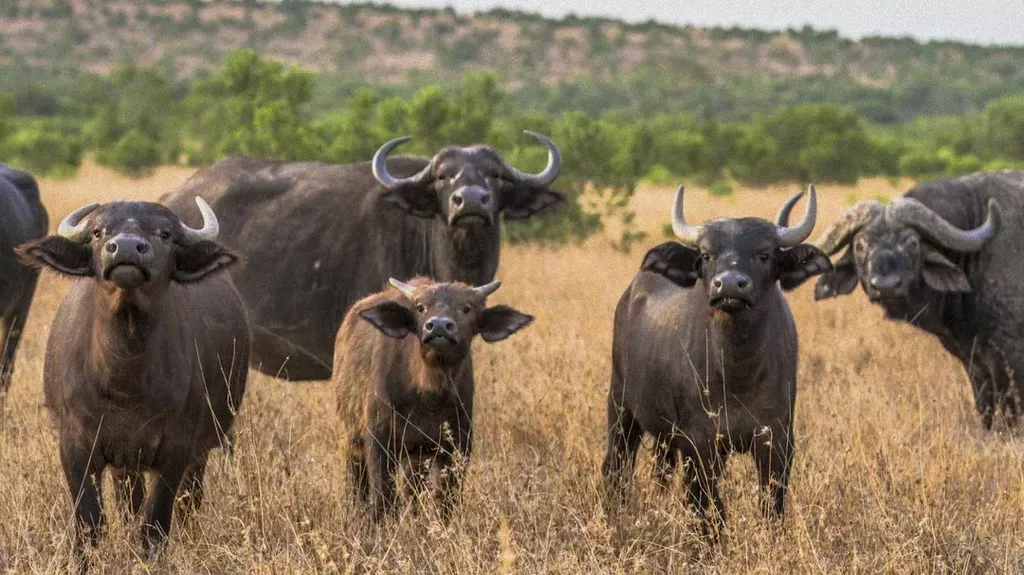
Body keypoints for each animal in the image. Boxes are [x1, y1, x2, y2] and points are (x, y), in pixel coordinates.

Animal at [17, 196, 247, 560]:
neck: (124, 380)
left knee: (188, 502)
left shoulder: (178, 447)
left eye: (165, 234)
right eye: (98, 232)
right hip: (126, 463)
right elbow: (89, 523)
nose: (126, 248)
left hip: (201, 447)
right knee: (129, 502)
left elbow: (155, 525)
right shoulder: (75, 445)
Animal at [335, 276, 532, 519]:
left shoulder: (456, 446)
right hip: (351, 436)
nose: (438, 326)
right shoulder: (378, 441)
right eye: (420, 307)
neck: (427, 395)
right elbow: (383, 498)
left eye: (466, 308)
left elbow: (445, 501)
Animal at [606, 186, 831, 536]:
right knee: (615, 468)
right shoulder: (699, 443)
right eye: (707, 254)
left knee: (661, 470)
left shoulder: (777, 439)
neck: (737, 372)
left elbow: (772, 506)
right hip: (620, 407)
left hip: (664, 435)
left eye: (764, 254)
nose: (729, 284)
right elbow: (708, 510)